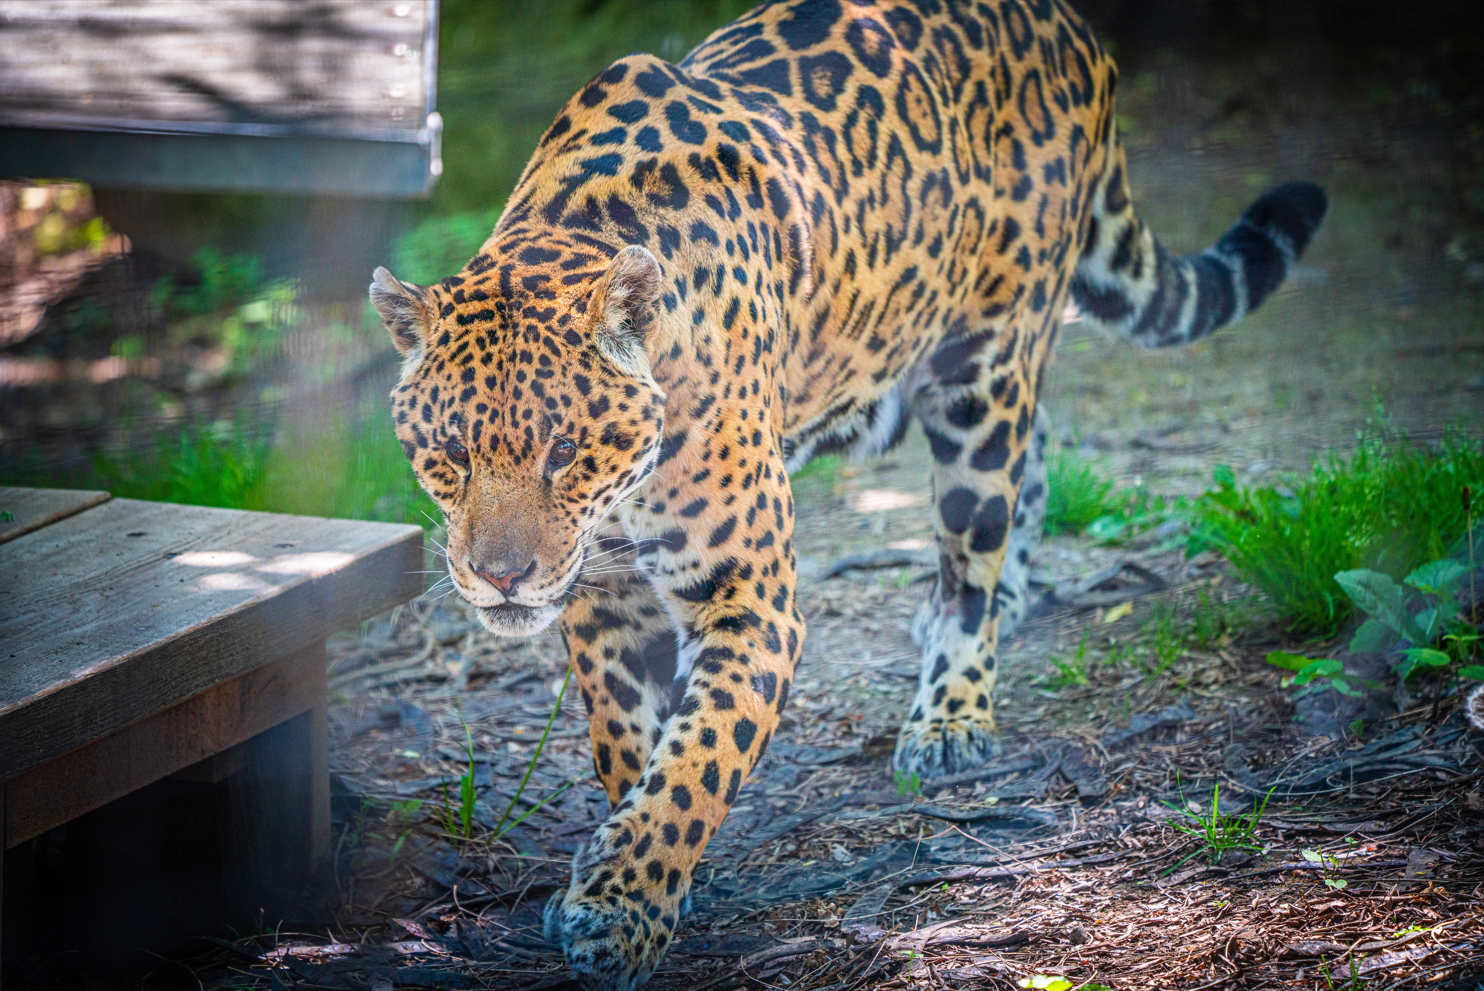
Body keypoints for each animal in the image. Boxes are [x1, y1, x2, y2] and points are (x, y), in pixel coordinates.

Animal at [369, 1, 1326, 986]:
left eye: (565, 452)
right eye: (448, 455)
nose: (502, 578)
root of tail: (1063, 21)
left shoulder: (750, 603)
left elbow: (698, 758)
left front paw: (624, 907)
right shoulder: (604, 606)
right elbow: (629, 744)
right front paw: (640, 869)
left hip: (984, 370)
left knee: (977, 537)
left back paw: (951, 708)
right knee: (1037, 457)